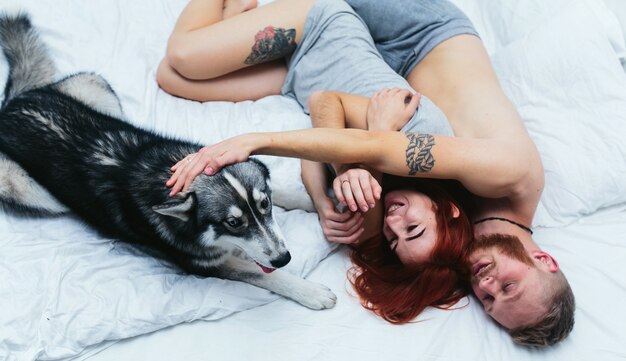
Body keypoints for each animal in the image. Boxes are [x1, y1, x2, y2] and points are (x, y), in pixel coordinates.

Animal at [0, 12, 336, 308]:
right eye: (232, 223)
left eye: (265, 205)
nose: (284, 258)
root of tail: (13, 103)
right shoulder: (206, 266)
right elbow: (262, 274)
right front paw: (310, 291)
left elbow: (281, 189)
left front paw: (317, 200)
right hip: (24, 187)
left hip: (95, 87)